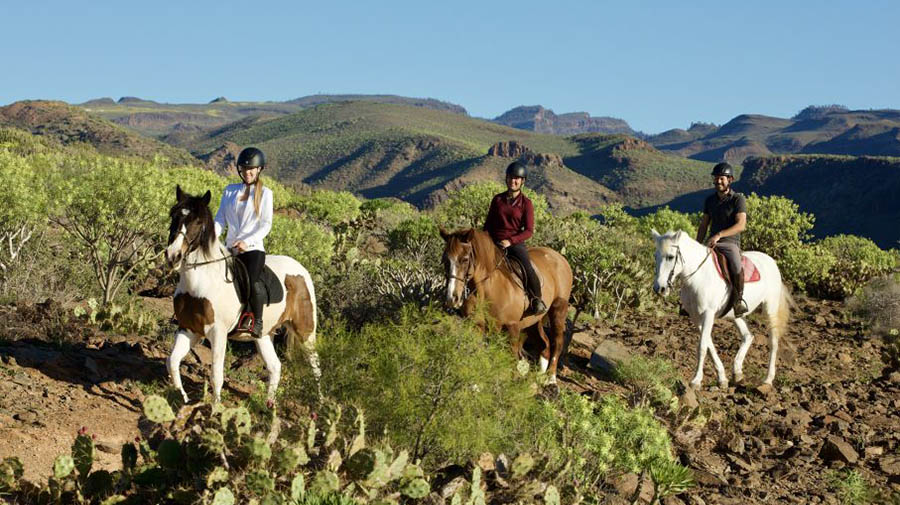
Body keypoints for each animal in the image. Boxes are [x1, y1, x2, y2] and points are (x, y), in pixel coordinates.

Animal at [165, 187, 320, 404]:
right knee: (275, 366)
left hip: (305, 331)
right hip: (264, 335)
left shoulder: (218, 333)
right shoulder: (189, 329)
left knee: (315, 365)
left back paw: (320, 402)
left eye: (198, 222)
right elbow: (172, 361)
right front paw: (183, 398)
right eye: (174, 215)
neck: (202, 282)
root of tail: (302, 269)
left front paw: (215, 407)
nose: (173, 256)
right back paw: (269, 404)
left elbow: (216, 375)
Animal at [440, 228, 572, 382]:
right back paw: (539, 377)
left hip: (558, 310)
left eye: (465, 259)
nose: (452, 298)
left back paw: (551, 378)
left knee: (557, 342)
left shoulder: (511, 327)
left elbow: (511, 358)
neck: (488, 288)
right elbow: (478, 355)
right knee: (543, 344)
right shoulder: (477, 327)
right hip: (533, 322)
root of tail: (560, 258)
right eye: (445, 259)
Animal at [652, 229, 792, 390]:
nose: (659, 288)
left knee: (773, 342)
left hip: (770, 309)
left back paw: (768, 379)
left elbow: (702, 347)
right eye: (655, 256)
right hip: (736, 315)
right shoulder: (696, 317)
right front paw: (722, 379)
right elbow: (709, 346)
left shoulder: (708, 314)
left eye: (670, 257)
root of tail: (771, 261)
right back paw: (737, 372)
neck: (698, 276)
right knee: (748, 336)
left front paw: (696, 380)